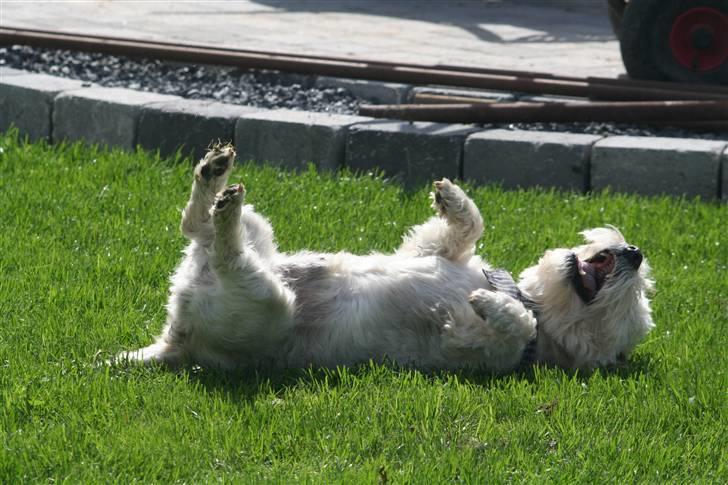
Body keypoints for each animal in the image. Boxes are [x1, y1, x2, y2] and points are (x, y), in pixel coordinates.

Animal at [118, 144, 656, 370]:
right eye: (642, 292)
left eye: (635, 305)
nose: (635, 252)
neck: (526, 293)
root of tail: (174, 342)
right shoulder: (436, 251)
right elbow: (463, 230)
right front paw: (452, 197)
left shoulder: (480, 349)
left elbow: (516, 325)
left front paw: (491, 305)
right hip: (260, 235)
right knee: (198, 229)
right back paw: (215, 174)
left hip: (263, 303)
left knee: (228, 253)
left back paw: (223, 202)